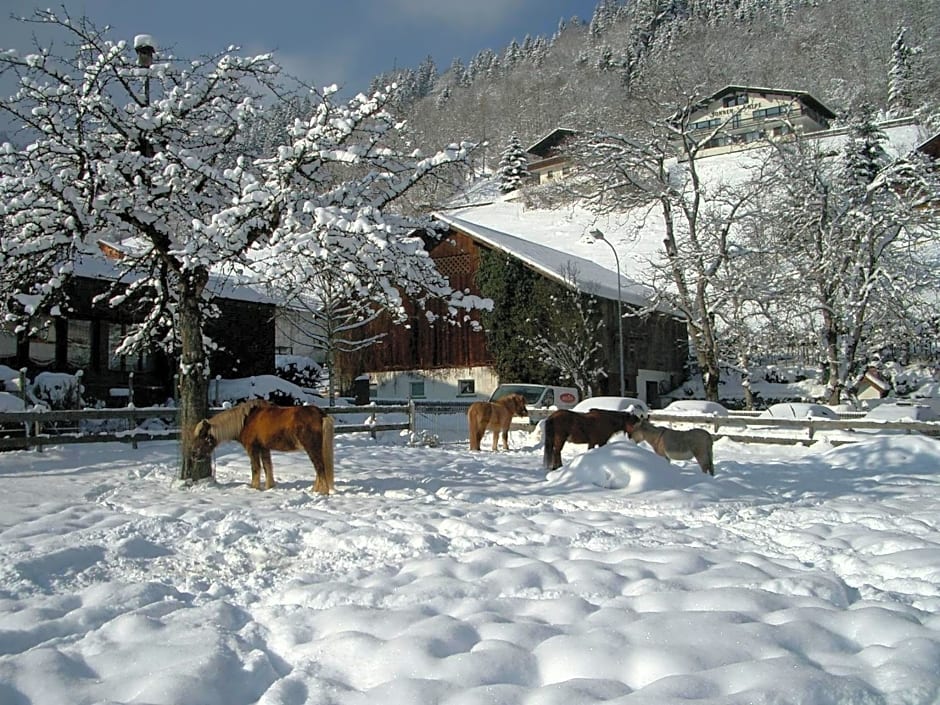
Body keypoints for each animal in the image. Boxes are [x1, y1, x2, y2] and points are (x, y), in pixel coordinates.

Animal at [191, 398, 334, 492]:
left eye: (202, 436)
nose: (193, 455)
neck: (246, 421)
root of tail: (321, 415)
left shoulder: (252, 448)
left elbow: (255, 468)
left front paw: (254, 487)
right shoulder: (264, 448)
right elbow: (267, 466)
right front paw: (269, 487)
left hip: (312, 448)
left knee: (320, 468)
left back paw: (321, 492)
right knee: (319, 468)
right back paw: (315, 490)